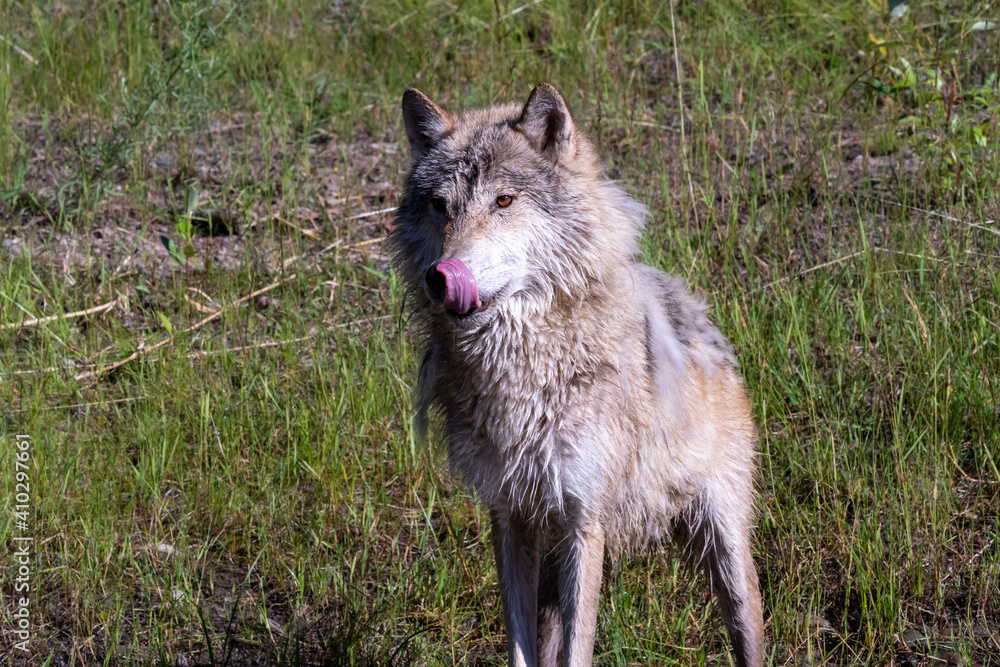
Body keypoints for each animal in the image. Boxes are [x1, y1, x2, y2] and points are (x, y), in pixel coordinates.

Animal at [387, 83, 764, 667]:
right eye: (440, 207)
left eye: (503, 201)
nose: (439, 277)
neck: (521, 373)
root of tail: (701, 316)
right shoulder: (509, 518)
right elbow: (521, 651)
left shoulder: (586, 523)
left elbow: (576, 650)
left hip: (726, 557)